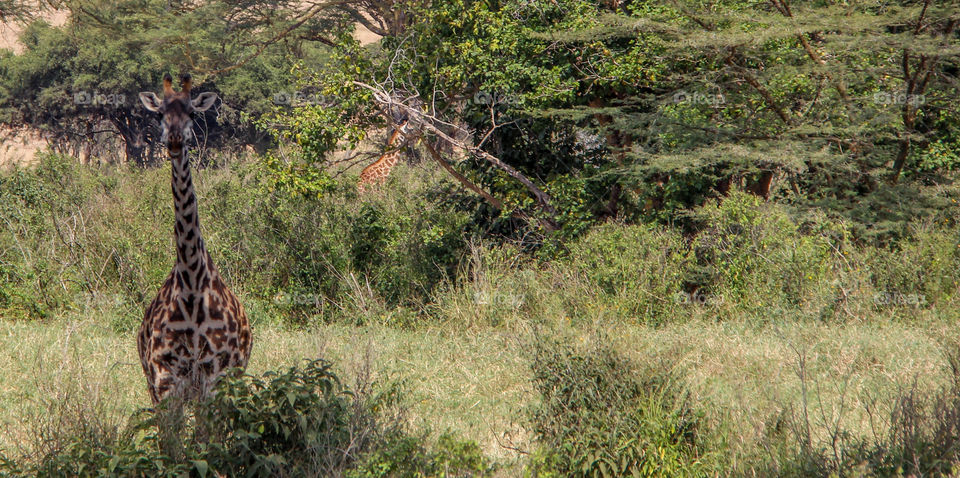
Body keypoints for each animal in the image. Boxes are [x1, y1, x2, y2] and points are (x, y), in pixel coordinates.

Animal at [139, 74, 253, 404]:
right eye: (159, 114)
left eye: (192, 112)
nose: (175, 141)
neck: (191, 288)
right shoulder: (164, 377)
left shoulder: (215, 374)